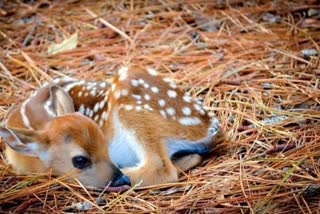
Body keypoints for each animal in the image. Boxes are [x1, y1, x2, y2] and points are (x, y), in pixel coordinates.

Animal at [0, 65, 219, 189]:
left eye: (105, 143)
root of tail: (210, 125)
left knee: (162, 168)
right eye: (80, 160)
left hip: (130, 101)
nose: (117, 177)